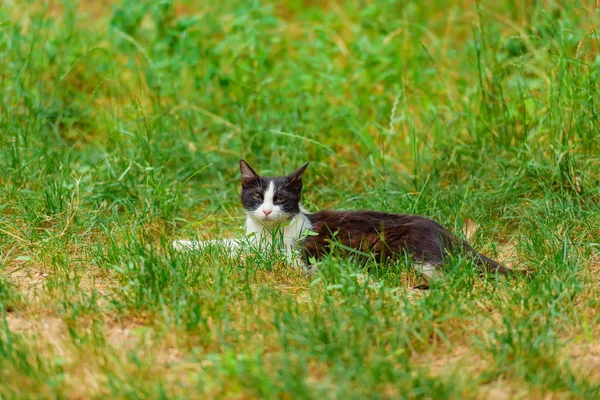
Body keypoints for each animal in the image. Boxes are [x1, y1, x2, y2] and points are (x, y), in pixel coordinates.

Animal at [173, 160, 524, 282]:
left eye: (281, 200)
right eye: (258, 198)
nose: (269, 211)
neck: (268, 232)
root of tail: (447, 233)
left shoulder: (288, 253)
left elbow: (247, 254)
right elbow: (228, 242)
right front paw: (182, 243)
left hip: (394, 247)